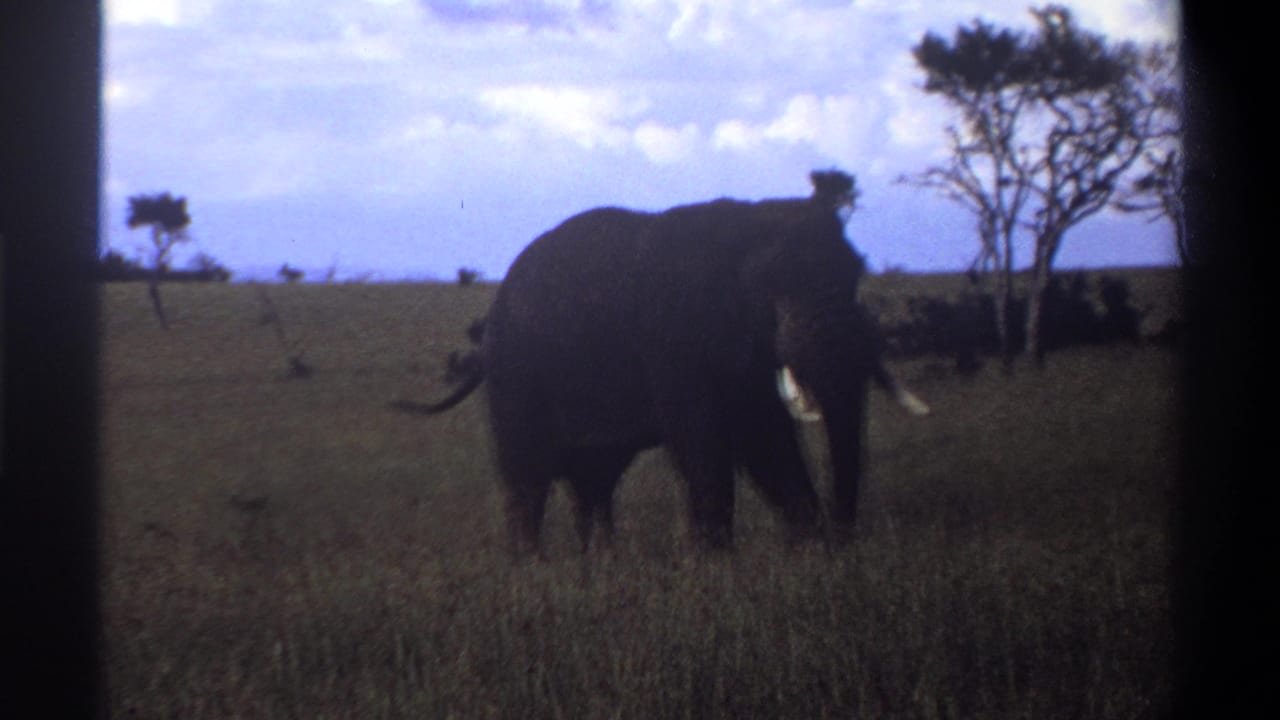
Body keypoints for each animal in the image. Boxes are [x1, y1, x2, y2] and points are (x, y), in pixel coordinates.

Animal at [393, 170, 927, 555]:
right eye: (778, 285)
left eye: (857, 272)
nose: (847, 538)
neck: (750, 222)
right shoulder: (676, 341)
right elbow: (708, 442)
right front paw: (714, 563)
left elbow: (766, 438)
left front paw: (811, 551)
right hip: (516, 375)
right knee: (529, 475)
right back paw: (533, 567)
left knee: (594, 479)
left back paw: (601, 562)